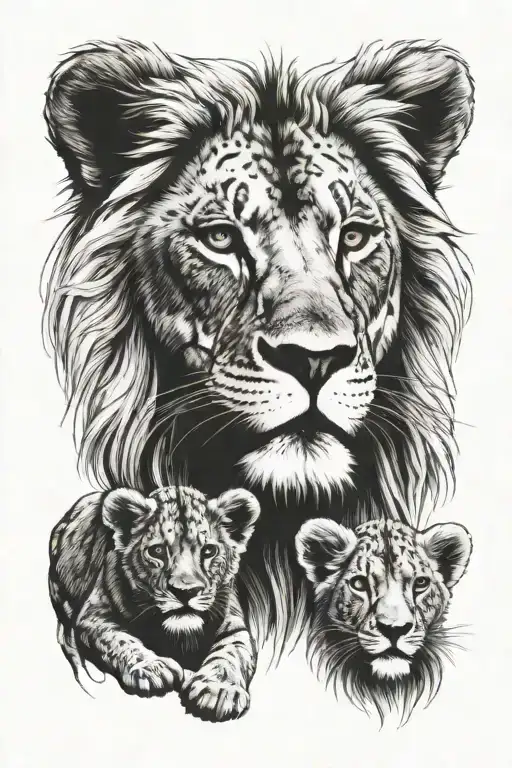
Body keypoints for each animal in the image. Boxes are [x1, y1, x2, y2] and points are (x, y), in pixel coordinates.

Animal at [49, 484, 260, 721]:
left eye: (209, 551)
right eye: (157, 551)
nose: (185, 592)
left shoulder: (234, 625)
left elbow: (231, 653)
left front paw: (218, 691)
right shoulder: (93, 616)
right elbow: (119, 640)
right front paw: (153, 668)